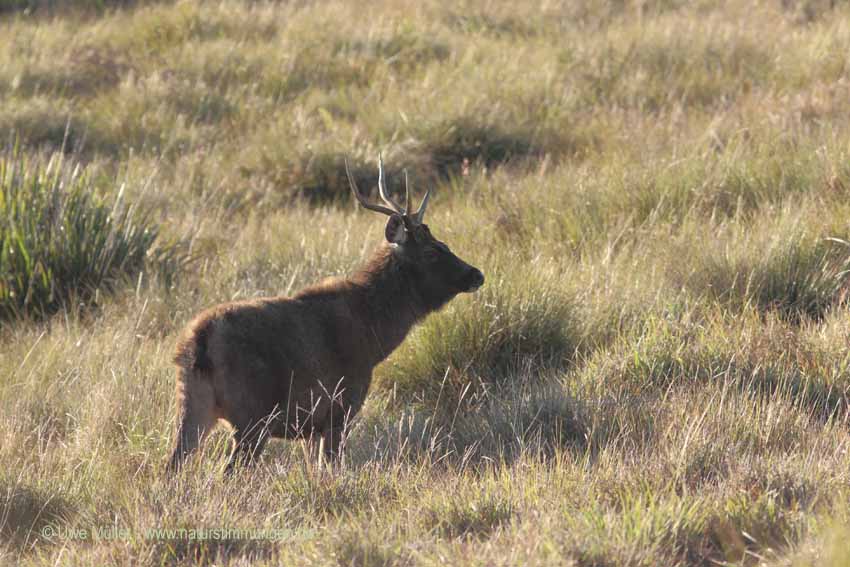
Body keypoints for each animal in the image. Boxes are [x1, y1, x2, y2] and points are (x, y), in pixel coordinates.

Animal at [166, 155, 484, 474]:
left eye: (444, 244)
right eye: (432, 252)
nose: (476, 274)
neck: (374, 335)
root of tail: (200, 340)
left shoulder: (312, 425)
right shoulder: (339, 408)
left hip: (193, 405)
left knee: (172, 465)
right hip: (252, 414)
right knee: (229, 471)